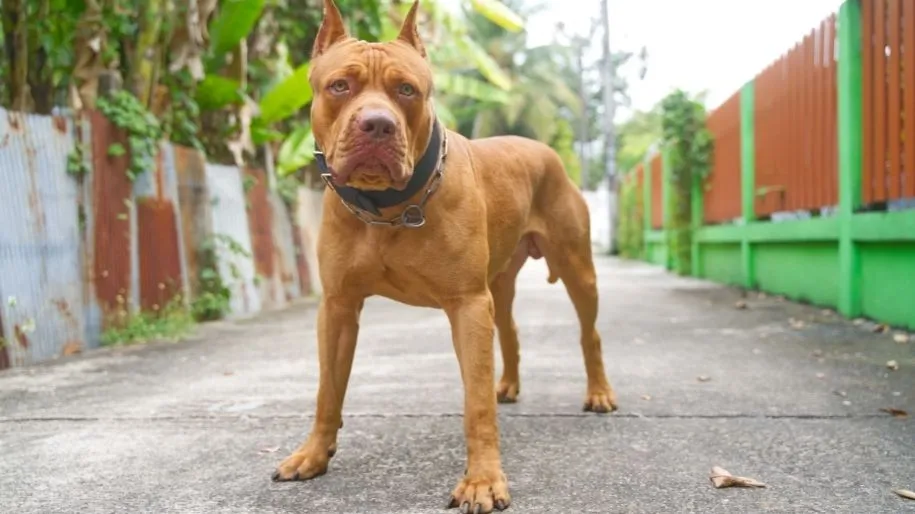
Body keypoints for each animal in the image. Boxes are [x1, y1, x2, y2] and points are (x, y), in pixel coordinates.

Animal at [270, 1, 616, 508]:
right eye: (340, 86)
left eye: (406, 90)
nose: (377, 123)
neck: (388, 208)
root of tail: (543, 149)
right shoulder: (337, 308)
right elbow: (327, 391)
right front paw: (313, 454)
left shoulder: (467, 306)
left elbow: (476, 404)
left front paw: (483, 480)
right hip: (499, 284)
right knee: (509, 330)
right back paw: (508, 385)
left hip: (578, 271)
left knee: (589, 334)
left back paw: (599, 392)